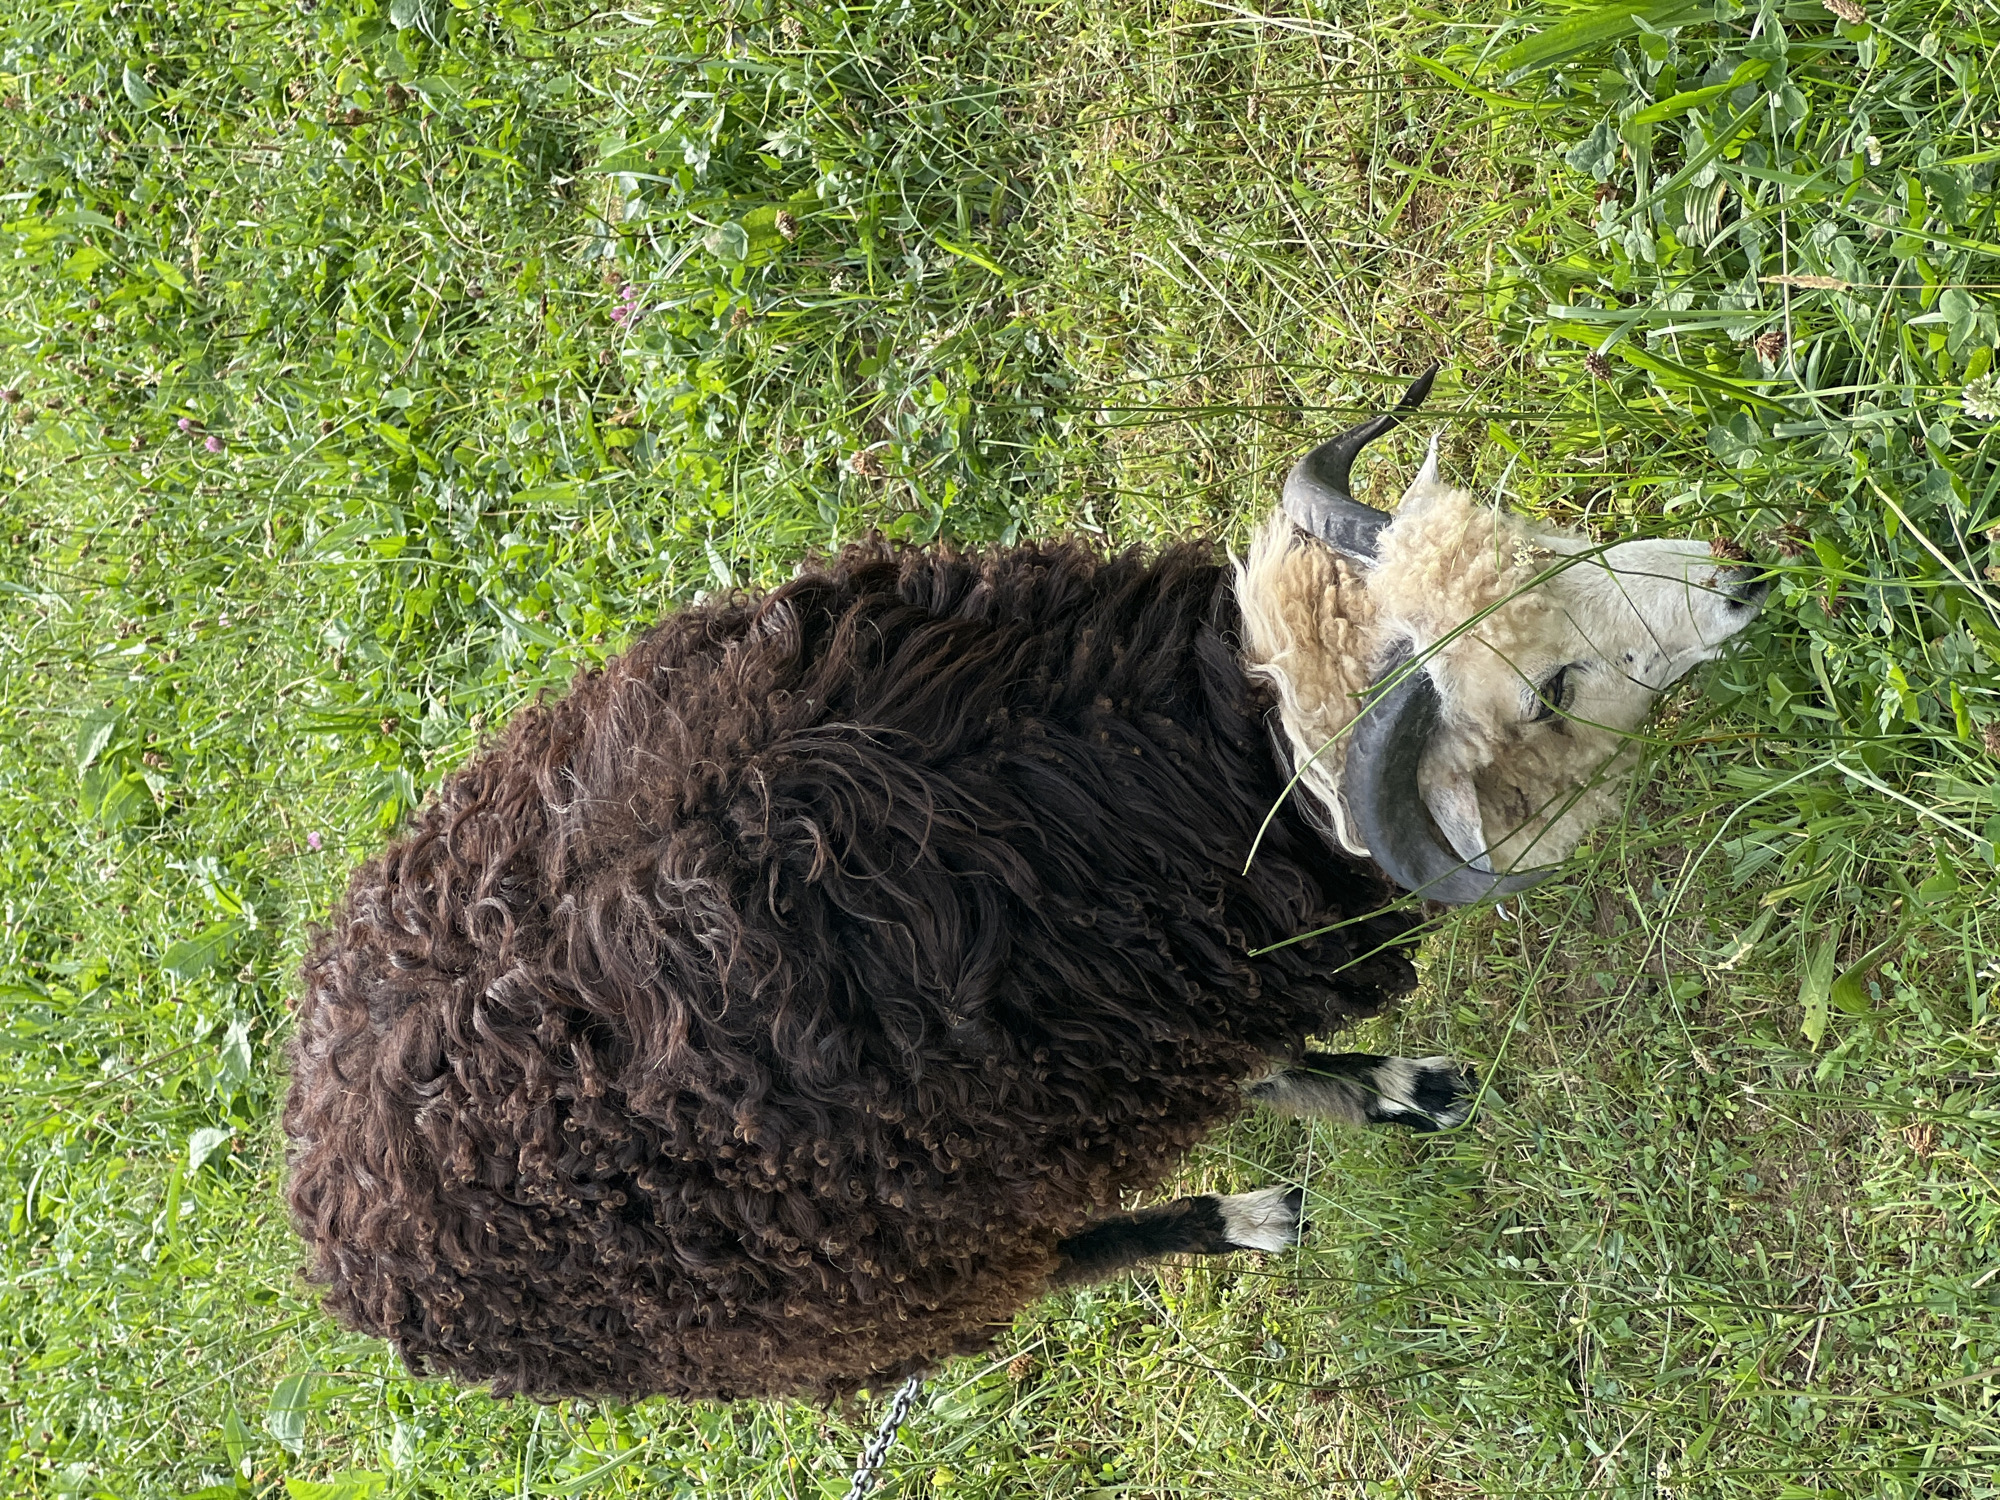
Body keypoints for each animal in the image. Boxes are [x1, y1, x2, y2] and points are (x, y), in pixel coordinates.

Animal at [282, 372, 1767, 1405]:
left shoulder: (1170, 1024)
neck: (1214, 762)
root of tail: (332, 1229)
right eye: (1546, 691)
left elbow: (1267, 1060)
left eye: (1540, 545)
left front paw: (1383, 1087)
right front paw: (1370, 1103)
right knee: (1072, 1257)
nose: (1742, 579)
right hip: (904, 1285)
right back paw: (1242, 1220)